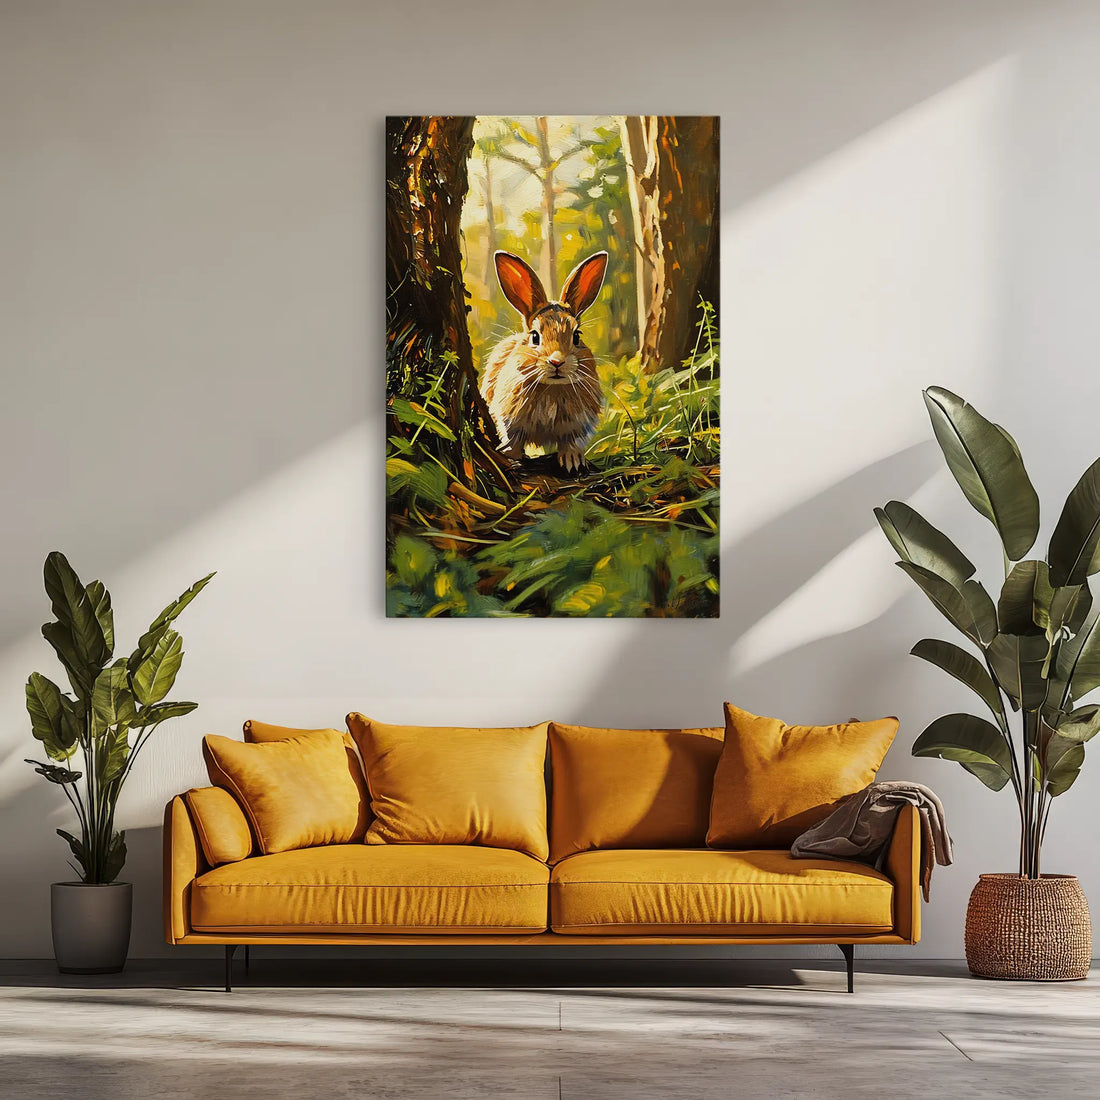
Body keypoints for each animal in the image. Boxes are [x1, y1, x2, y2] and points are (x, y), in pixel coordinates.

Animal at [480, 249, 608, 473]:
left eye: (577, 336)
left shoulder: (578, 425)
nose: (557, 361)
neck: (552, 388)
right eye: (534, 336)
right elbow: (512, 439)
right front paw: (512, 457)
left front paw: (572, 461)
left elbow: (572, 442)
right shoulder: (509, 421)